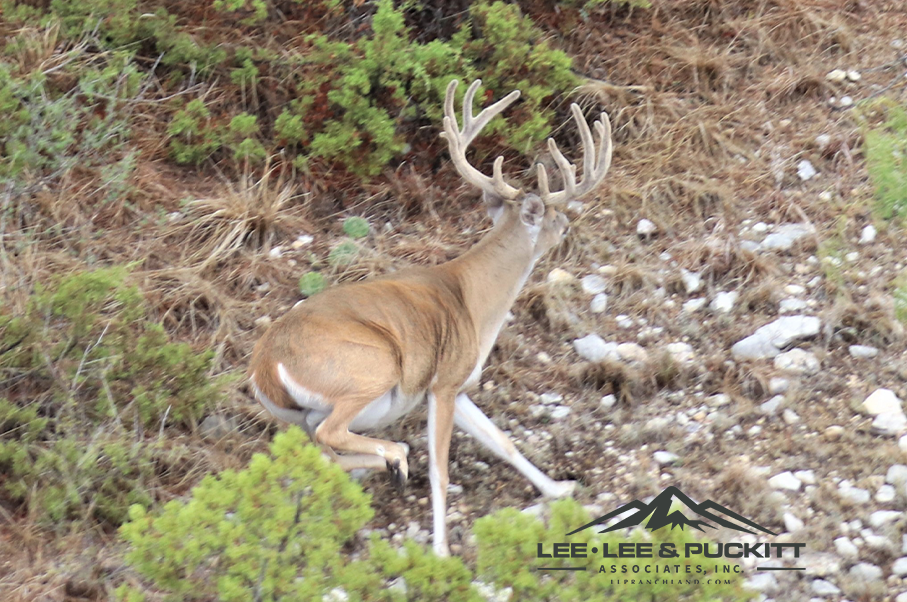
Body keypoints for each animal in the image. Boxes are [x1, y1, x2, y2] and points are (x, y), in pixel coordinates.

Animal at [250, 77, 612, 556]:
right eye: (556, 218)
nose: (571, 226)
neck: (474, 300)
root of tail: (266, 366)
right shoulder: (442, 383)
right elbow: (441, 471)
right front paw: (441, 550)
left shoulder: (459, 385)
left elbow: (503, 442)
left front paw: (560, 489)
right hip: (371, 368)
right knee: (332, 434)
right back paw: (395, 459)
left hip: (306, 413)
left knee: (321, 452)